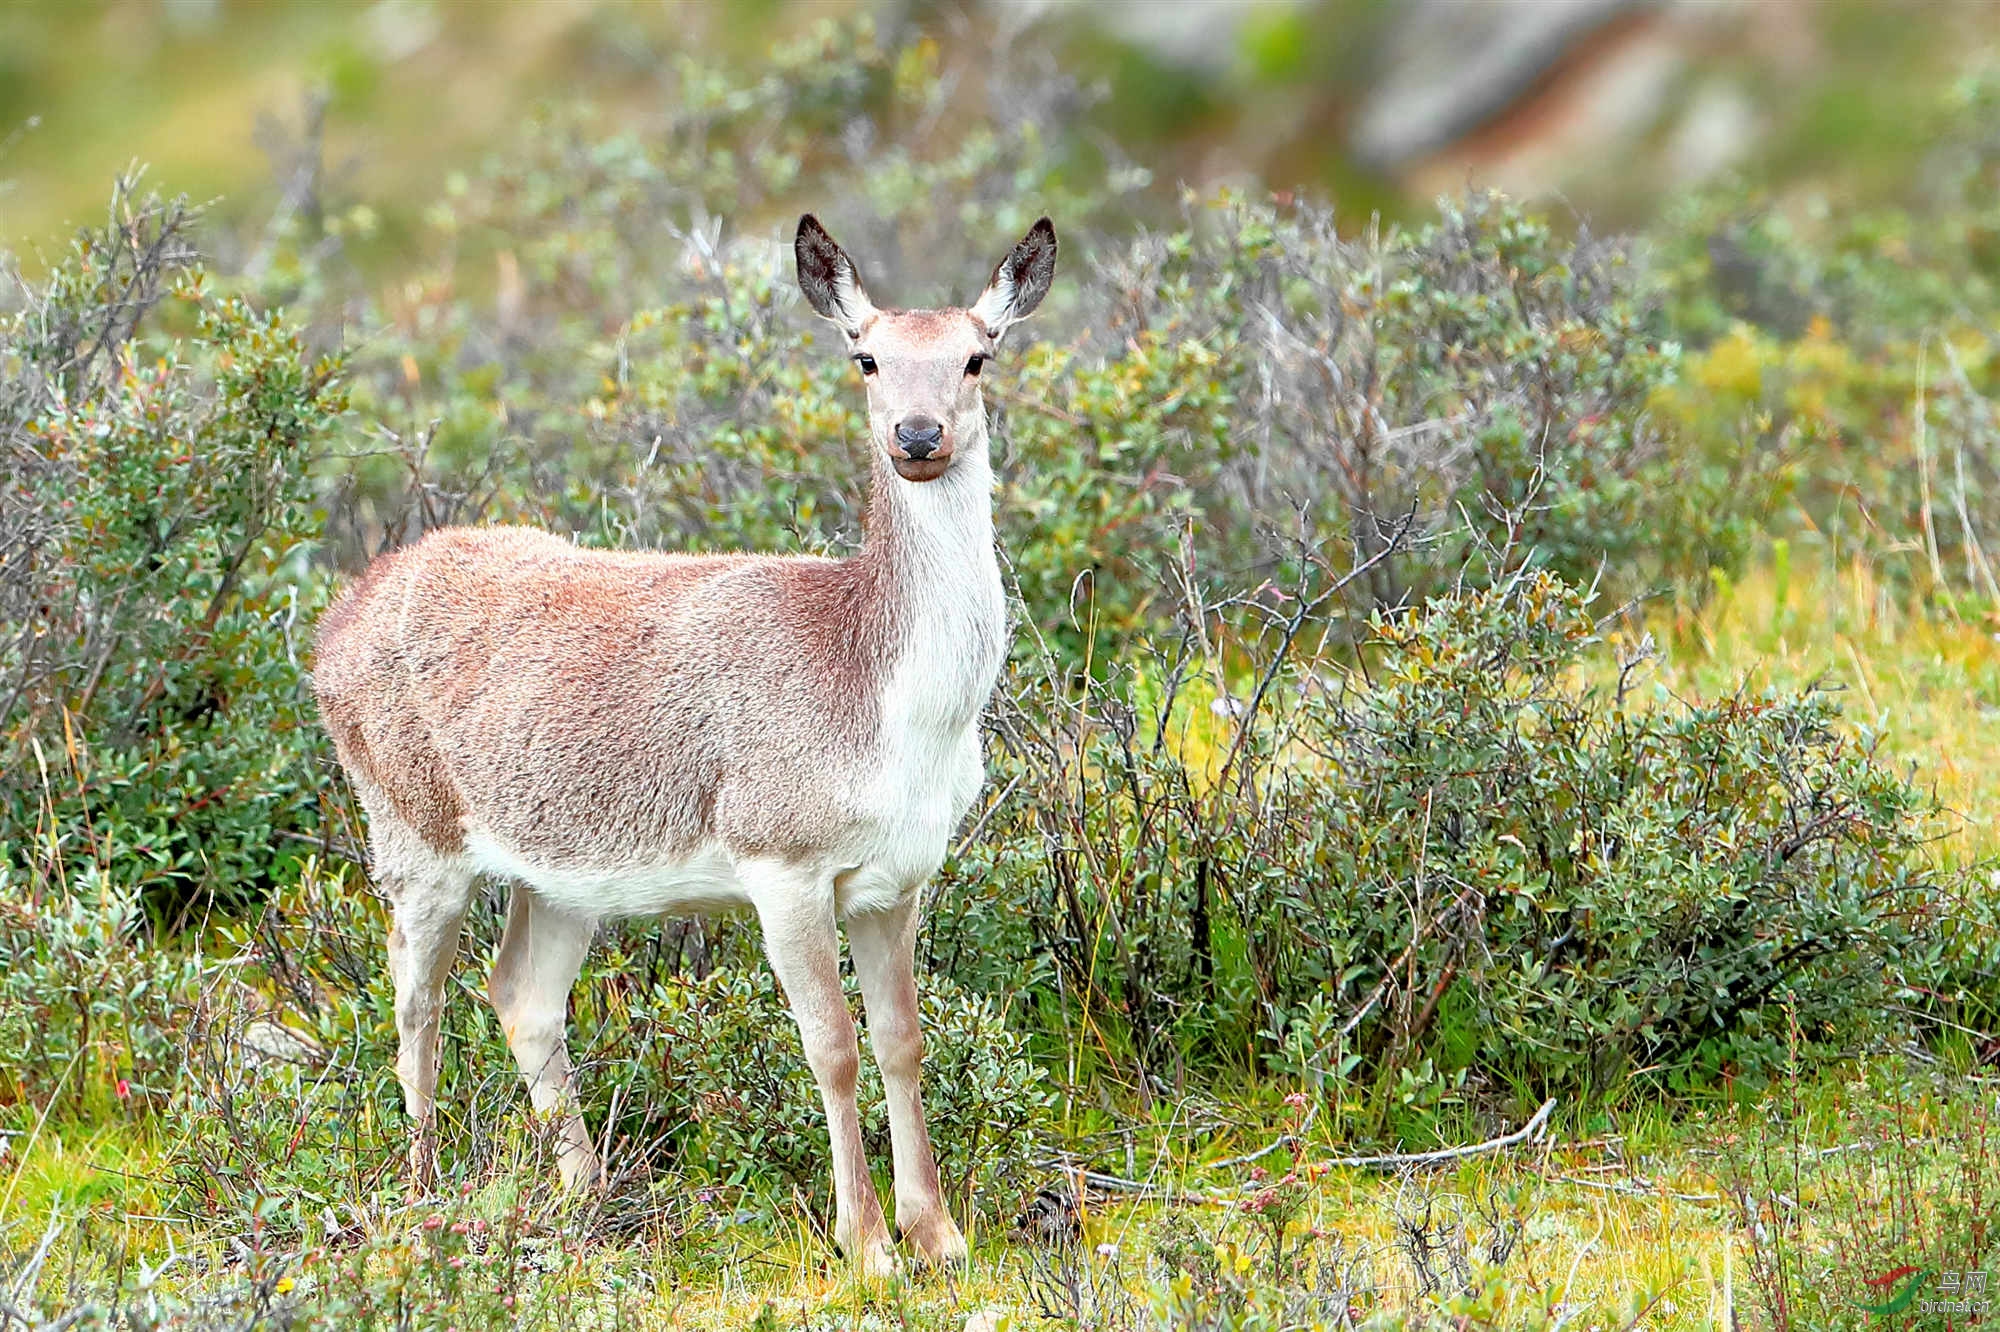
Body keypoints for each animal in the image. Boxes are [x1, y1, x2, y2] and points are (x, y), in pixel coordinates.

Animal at [308, 213, 1064, 1272]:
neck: (886, 712)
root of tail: (331, 628)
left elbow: (902, 1038)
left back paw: (587, 1190)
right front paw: (866, 1244)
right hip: (410, 826)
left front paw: (940, 1234)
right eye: (865, 356)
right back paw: (421, 1187)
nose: (918, 437)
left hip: (562, 874)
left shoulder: (901, 876)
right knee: (414, 995)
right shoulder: (779, 855)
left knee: (521, 994)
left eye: (978, 355)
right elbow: (830, 1045)